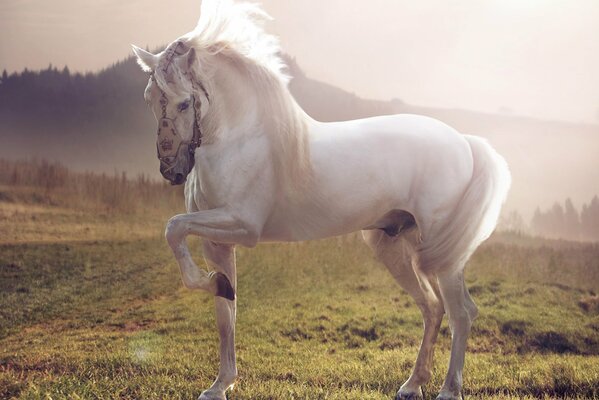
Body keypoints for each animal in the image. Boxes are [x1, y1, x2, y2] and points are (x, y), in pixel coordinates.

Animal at [131, 1, 510, 398]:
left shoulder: (241, 226)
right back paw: (412, 384)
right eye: (149, 99)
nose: (171, 170)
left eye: (184, 103)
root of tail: (465, 142)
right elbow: (225, 315)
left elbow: (173, 228)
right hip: (394, 247)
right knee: (433, 308)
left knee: (461, 312)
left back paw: (449, 388)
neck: (240, 138)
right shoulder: (217, 242)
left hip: (442, 255)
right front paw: (220, 384)